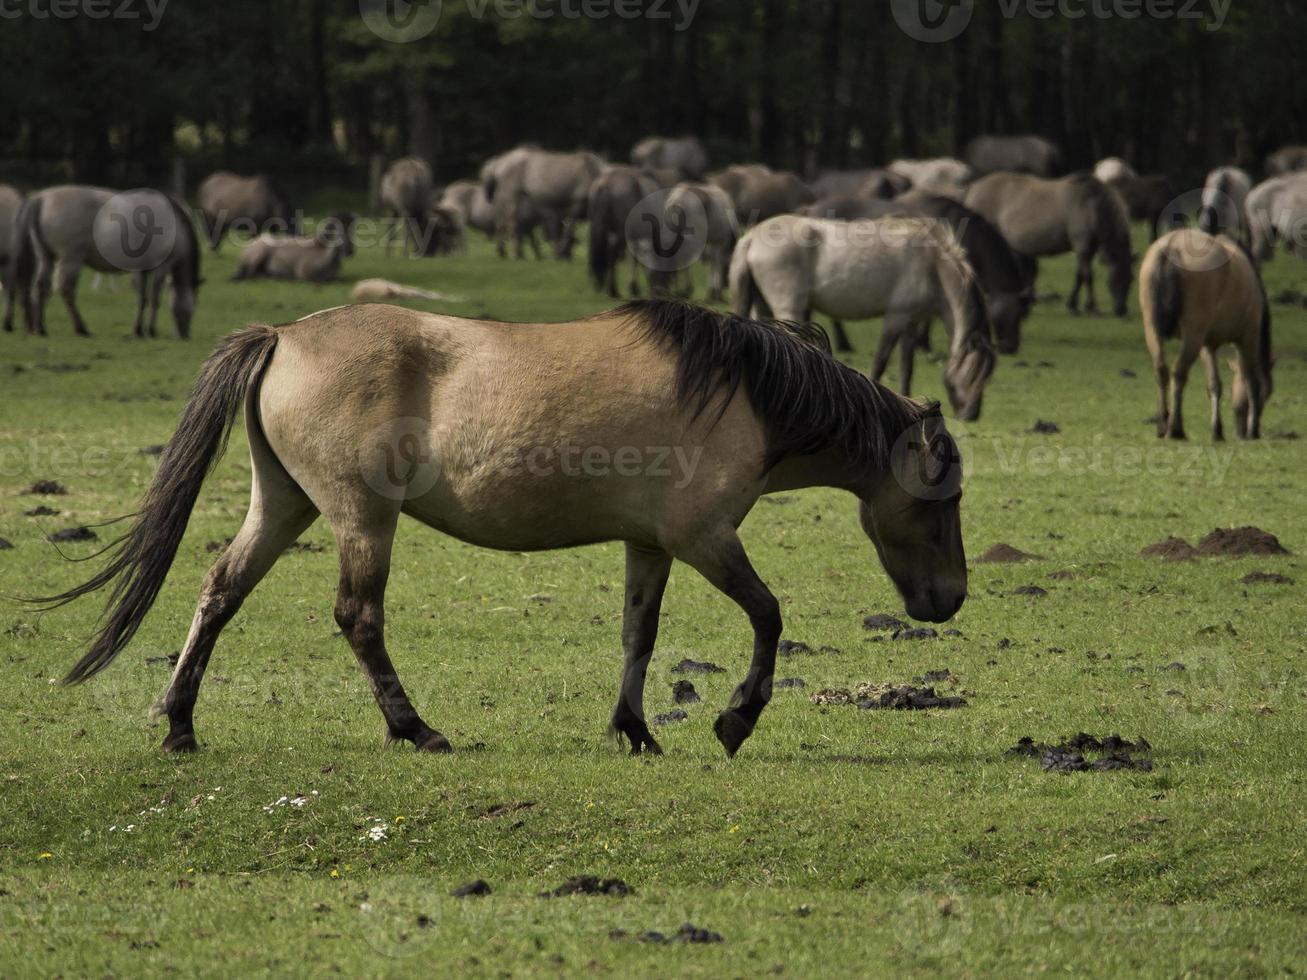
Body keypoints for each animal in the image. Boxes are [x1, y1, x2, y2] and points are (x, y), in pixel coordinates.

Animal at [12, 185, 201, 339]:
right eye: (192, 308)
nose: (184, 335)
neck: (176, 224)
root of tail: (41, 198)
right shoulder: (162, 267)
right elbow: (154, 299)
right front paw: (151, 331)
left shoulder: (143, 270)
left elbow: (142, 299)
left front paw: (138, 330)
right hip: (71, 259)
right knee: (66, 290)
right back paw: (81, 328)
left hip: (46, 257)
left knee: (40, 287)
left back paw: (40, 329)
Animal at [38, 303, 972, 763]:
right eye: (943, 496)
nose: (949, 600)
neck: (742, 390)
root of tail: (285, 337)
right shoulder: (704, 538)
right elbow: (769, 616)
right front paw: (734, 721)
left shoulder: (650, 546)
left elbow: (638, 634)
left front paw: (634, 731)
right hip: (360, 519)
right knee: (358, 618)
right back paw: (415, 730)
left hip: (285, 505)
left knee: (220, 591)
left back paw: (180, 725)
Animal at [731, 212, 993, 420]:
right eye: (973, 374)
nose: (972, 415)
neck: (932, 263)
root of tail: (751, 237)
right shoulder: (896, 317)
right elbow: (881, 360)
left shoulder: (912, 322)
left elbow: (907, 366)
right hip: (788, 307)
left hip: (761, 305)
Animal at [961, 172, 1134, 316]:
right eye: (1111, 281)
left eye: (1131, 279)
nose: (1121, 310)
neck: (1091, 204)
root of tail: (973, 187)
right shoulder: (1083, 246)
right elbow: (1088, 276)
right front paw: (1091, 307)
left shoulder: (1089, 248)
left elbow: (1079, 276)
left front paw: (1072, 305)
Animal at [1139, 229, 1270, 441]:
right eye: (1266, 395)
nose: (1240, 432)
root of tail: (1172, 244)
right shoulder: (1248, 336)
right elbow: (1251, 381)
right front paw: (1252, 430)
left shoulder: (1207, 345)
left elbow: (1214, 385)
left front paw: (1217, 429)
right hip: (1193, 335)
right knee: (1178, 372)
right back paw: (1175, 428)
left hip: (1152, 329)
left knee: (1162, 370)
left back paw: (1163, 425)